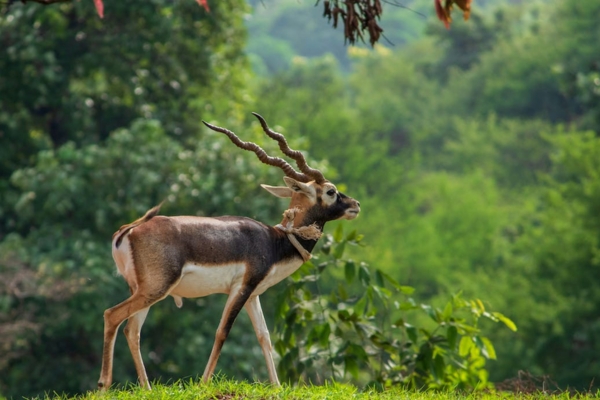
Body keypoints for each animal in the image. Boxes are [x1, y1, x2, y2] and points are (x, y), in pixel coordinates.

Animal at [98, 113, 360, 390]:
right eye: (331, 191)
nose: (355, 205)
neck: (275, 241)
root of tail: (128, 231)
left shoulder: (253, 294)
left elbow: (264, 336)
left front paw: (277, 386)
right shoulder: (240, 288)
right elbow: (222, 331)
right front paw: (203, 384)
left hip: (143, 290)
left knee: (132, 330)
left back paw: (146, 388)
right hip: (155, 288)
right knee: (112, 316)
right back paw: (103, 385)